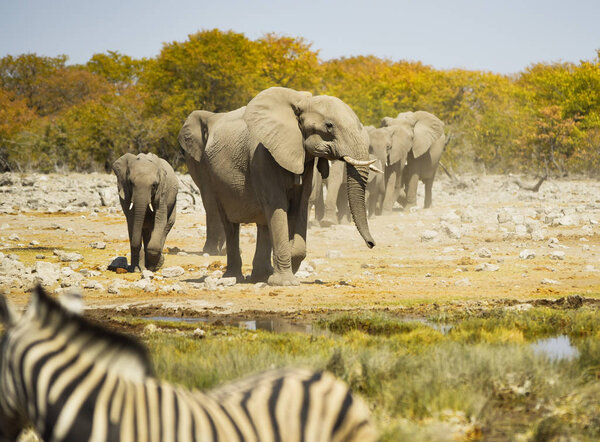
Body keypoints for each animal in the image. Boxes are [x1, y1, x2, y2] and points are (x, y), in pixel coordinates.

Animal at [177, 87, 376, 286]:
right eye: (329, 125)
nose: (371, 244)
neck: (301, 102)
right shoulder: (262, 155)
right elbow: (277, 204)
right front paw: (285, 282)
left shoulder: (305, 161)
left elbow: (300, 205)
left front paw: (290, 260)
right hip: (215, 179)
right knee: (230, 224)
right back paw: (234, 277)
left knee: (263, 224)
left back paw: (261, 276)